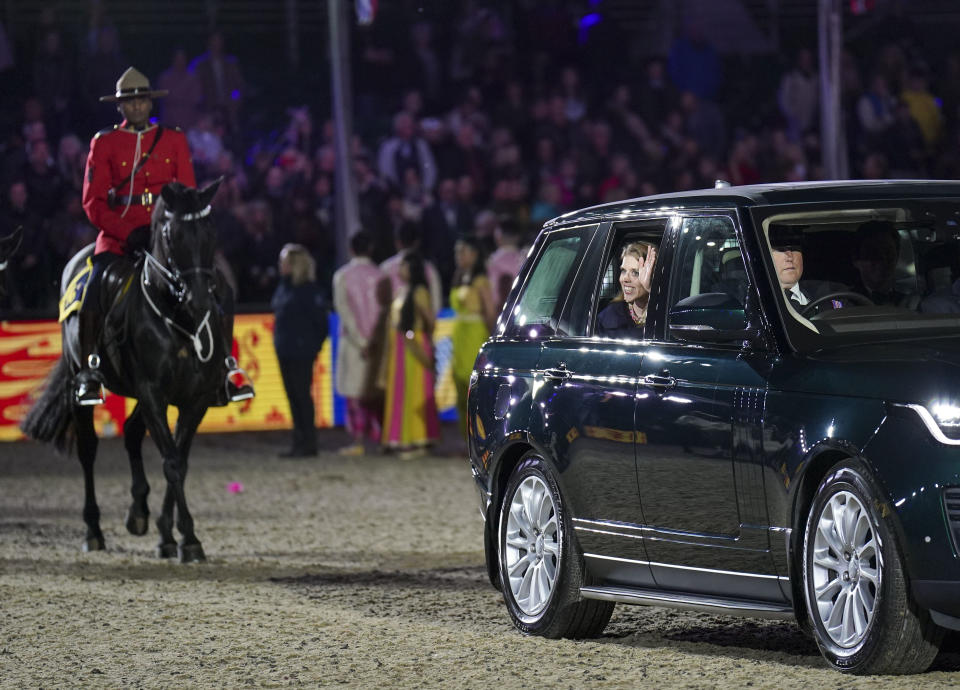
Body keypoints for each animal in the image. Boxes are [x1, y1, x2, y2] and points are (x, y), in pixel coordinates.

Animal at [20, 180, 231, 560]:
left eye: (210, 232)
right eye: (172, 235)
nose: (200, 300)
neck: (179, 320)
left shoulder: (195, 399)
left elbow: (179, 460)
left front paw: (169, 534)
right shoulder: (152, 393)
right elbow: (172, 462)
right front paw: (189, 538)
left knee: (132, 434)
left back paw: (140, 514)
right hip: (80, 385)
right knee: (88, 450)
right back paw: (93, 530)